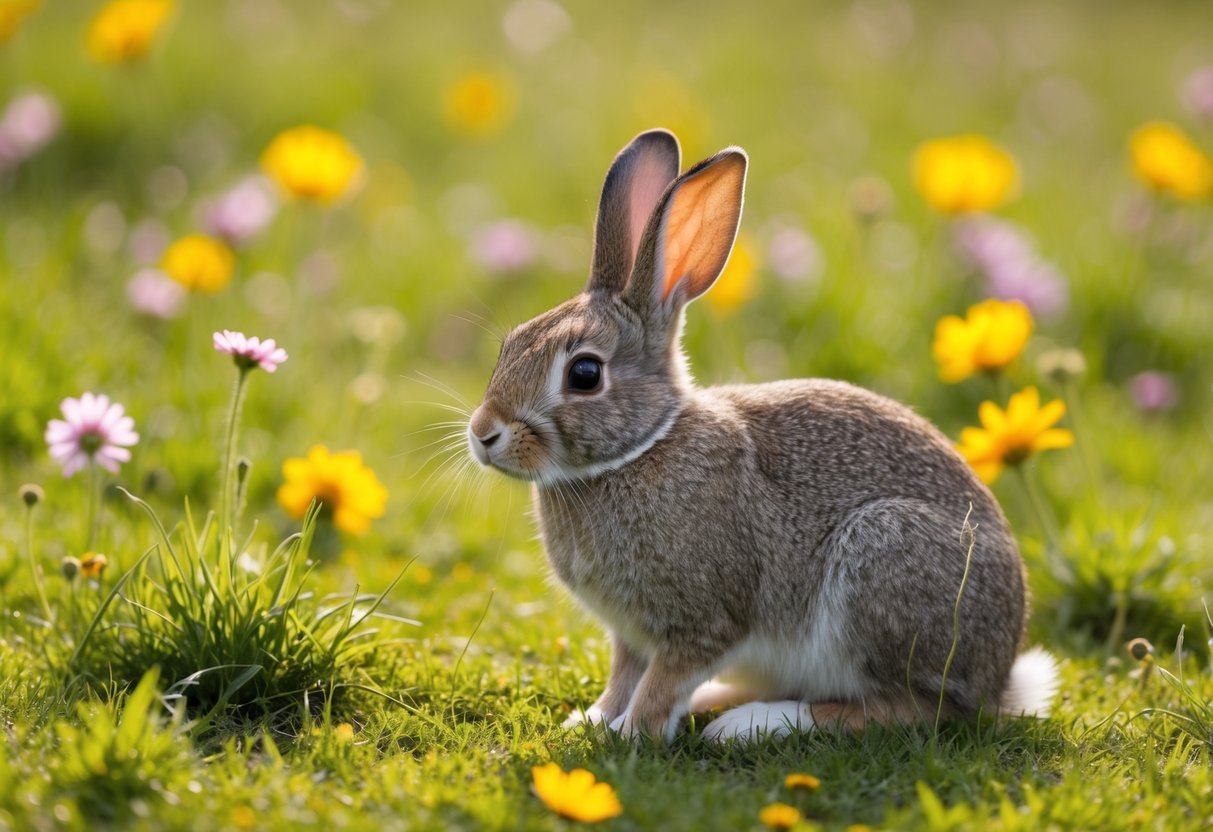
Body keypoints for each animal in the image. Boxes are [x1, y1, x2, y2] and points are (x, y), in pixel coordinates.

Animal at [466, 128, 1059, 742]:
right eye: (511, 344)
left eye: (584, 374)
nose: (483, 434)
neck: (641, 449)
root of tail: (999, 677)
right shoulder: (630, 634)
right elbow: (624, 676)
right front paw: (593, 720)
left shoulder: (702, 621)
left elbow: (661, 683)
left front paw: (633, 732)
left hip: (884, 558)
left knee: (911, 708)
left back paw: (751, 723)